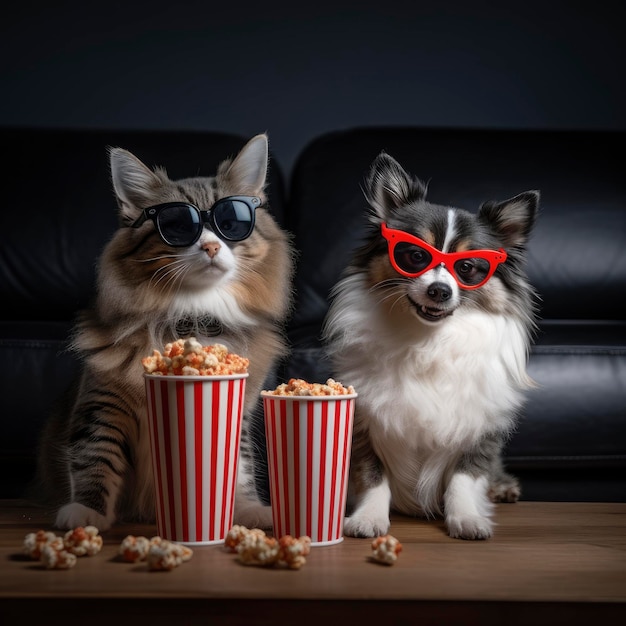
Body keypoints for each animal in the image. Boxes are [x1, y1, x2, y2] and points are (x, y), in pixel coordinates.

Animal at [33, 134, 296, 528]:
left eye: (230, 222)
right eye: (177, 226)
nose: (211, 245)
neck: (195, 318)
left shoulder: (239, 409)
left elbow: (240, 465)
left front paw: (247, 509)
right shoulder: (102, 403)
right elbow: (94, 457)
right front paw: (86, 512)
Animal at [322, 151, 536, 536]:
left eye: (468, 268)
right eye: (415, 256)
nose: (440, 290)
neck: (429, 339)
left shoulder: (480, 428)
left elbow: (464, 478)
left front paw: (466, 517)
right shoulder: (364, 424)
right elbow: (373, 477)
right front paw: (368, 518)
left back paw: (502, 488)